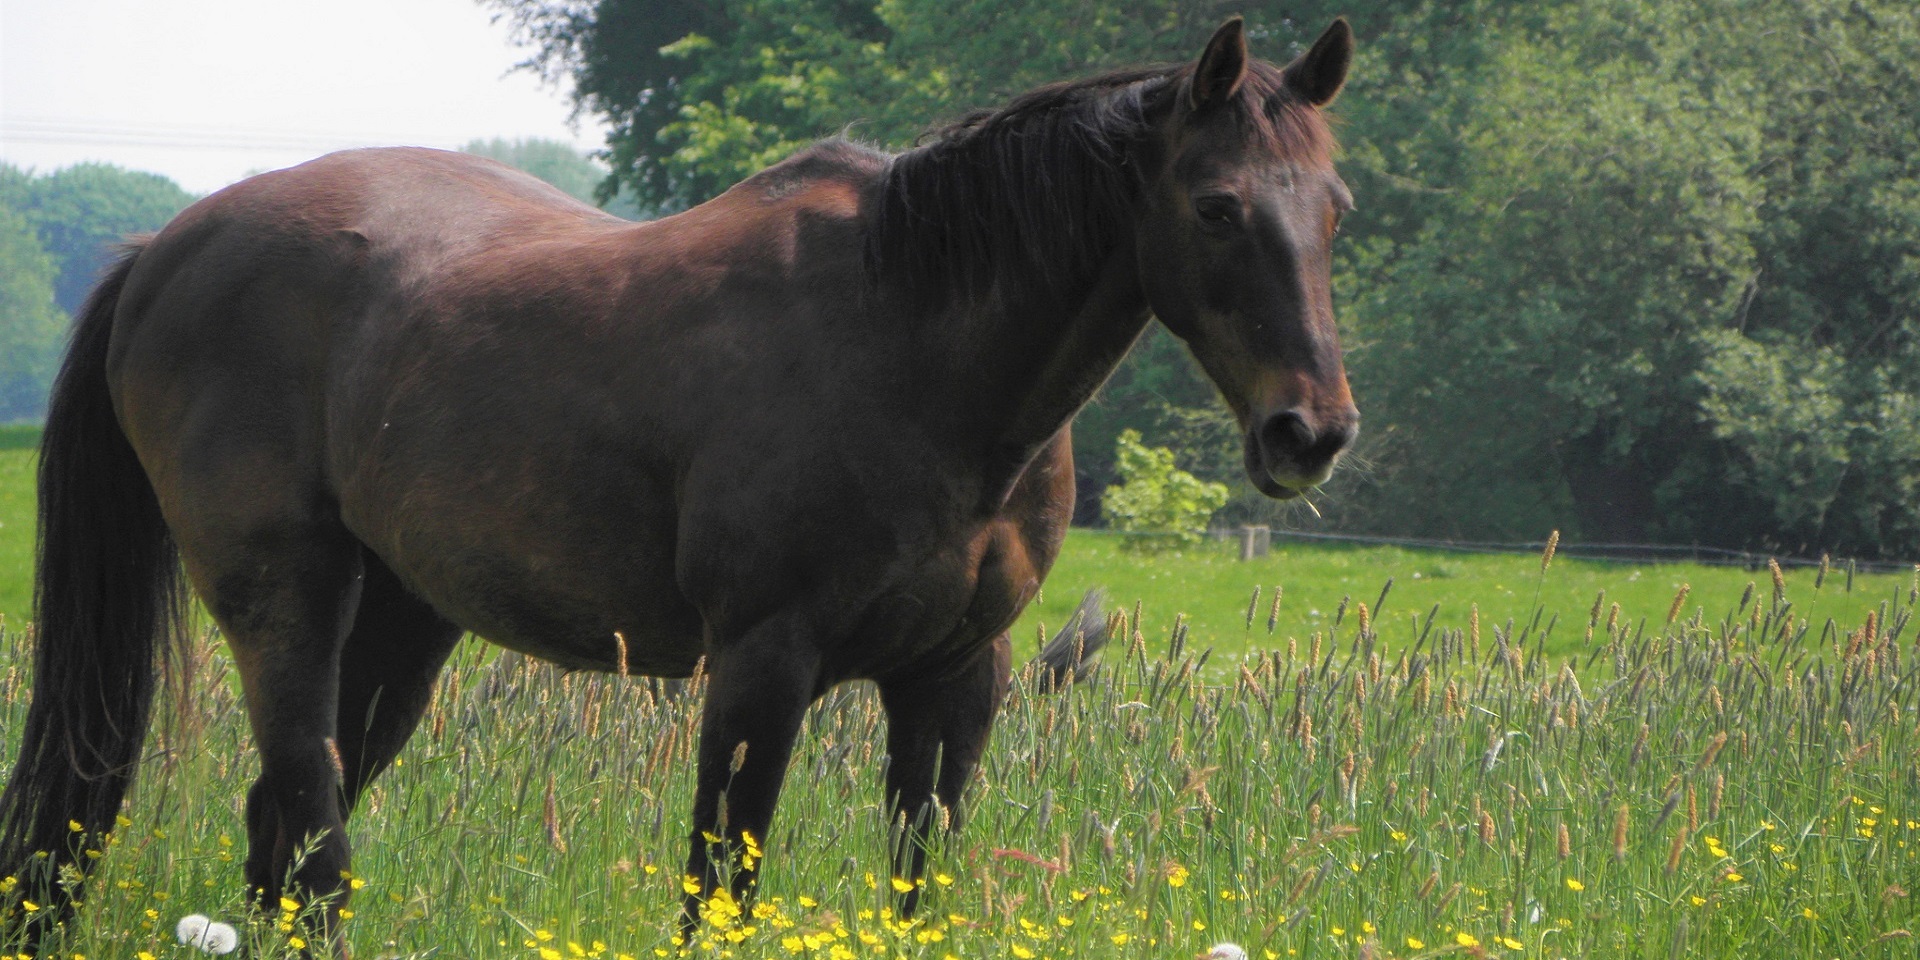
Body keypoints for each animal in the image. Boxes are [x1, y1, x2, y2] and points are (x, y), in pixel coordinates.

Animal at [0, 15, 1359, 940]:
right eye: (1218, 206)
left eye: (1336, 204)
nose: (1311, 433)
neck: (910, 344)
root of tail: (167, 247)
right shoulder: (762, 668)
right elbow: (722, 889)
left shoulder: (954, 681)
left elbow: (916, 891)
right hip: (287, 605)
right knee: (315, 844)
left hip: (402, 620)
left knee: (279, 840)